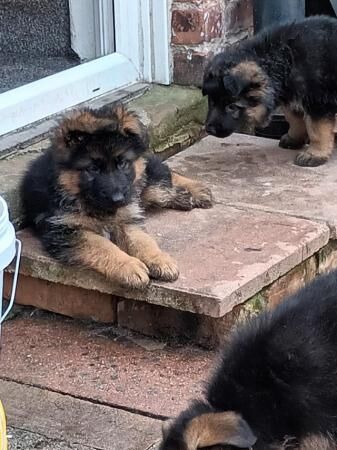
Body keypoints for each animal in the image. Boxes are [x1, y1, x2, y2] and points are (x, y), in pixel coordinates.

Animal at [20, 104, 210, 288]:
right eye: (93, 169)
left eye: (122, 163)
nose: (118, 199)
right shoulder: (66, 231)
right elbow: (104, 245)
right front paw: (130, 266)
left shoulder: (127, 218)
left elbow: (143, 241)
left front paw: (159, 259)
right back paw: (186, 196)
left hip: (142, 184)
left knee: (163, 176)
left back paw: (196, 190)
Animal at [202, 15, 336, 168]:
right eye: (211, 102)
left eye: (232, 106)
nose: (209, 130)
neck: (285, 58)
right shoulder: (291, 96)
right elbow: (295, 119)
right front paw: (294, 138)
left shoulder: (318, 102)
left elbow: (316, 129)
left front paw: (315, 154)